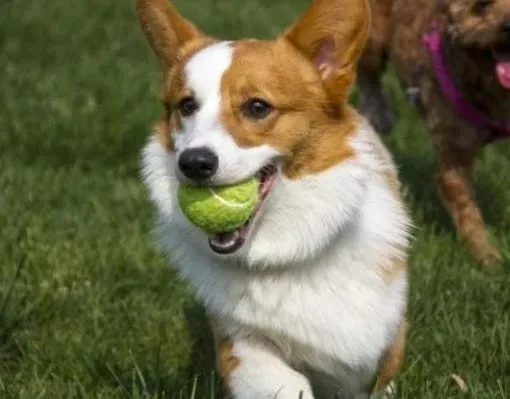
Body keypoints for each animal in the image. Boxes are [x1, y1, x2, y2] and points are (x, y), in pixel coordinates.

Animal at [137, 0, 412, 398]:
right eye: (186, 106)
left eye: (257, 107)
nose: (193, 163)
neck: (285, 251)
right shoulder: (241, 343)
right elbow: (281, 382)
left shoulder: (382, 347)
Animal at [356, 0, 510, 268]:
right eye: (481, 6)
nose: (509, 25)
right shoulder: (454, 148)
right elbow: (464, 204)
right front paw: (489, 258)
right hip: (372, 32)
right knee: (366, 69)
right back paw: (377, 112)